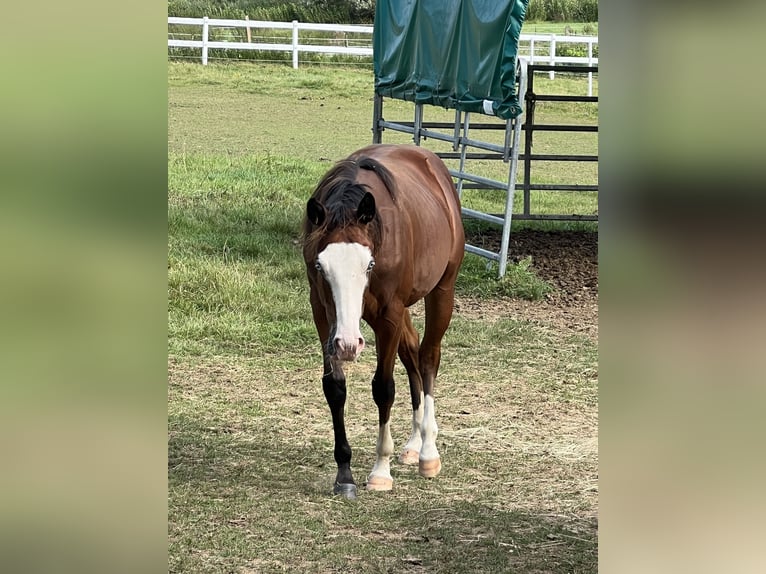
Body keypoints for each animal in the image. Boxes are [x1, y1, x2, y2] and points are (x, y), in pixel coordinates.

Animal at [304, 143, 464, 500]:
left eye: (369, 264)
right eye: (321, 267)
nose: (349, 344)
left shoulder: (389, 315)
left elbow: (383, 388)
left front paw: (380, 471)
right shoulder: (323, 313)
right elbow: (334, 387)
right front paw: (345, 474)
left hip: (441, 291)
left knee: (428, 357)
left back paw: (428, 452)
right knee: (412, 353)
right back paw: (414, 444)